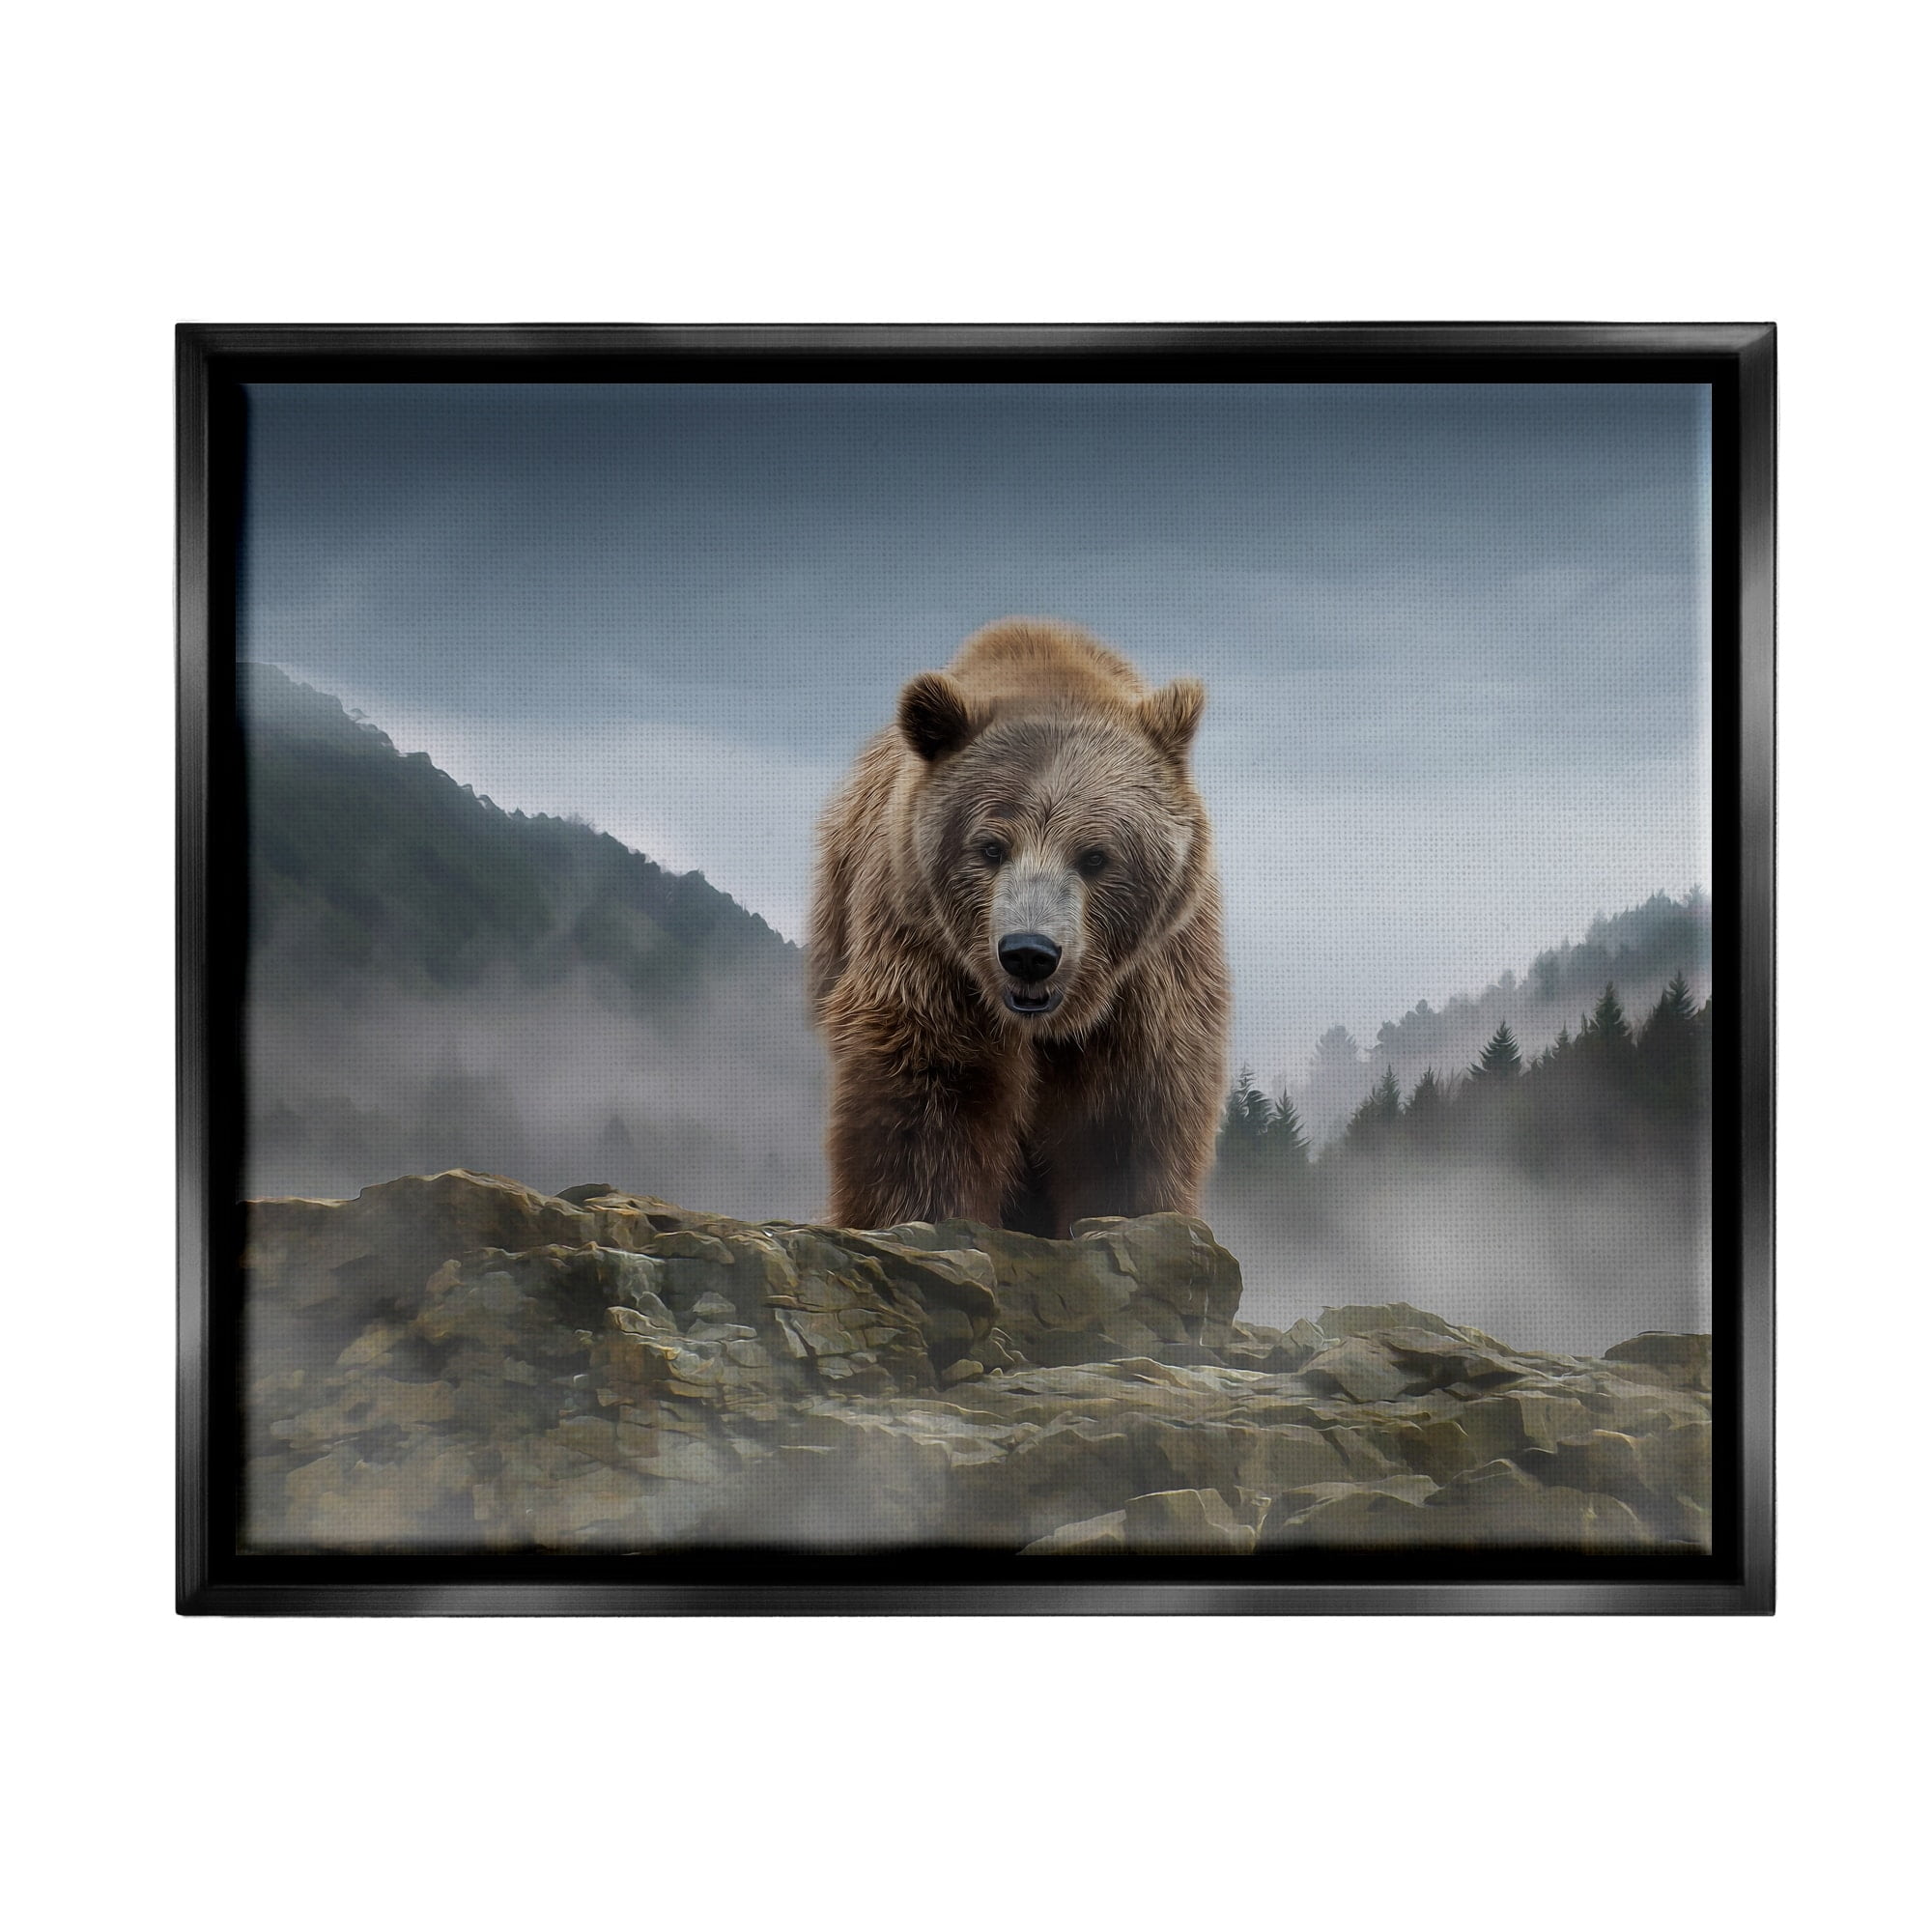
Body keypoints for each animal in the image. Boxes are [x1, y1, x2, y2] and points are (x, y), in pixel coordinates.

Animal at [807, 618, 1231, 1238]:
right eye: (990, 847)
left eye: (1096, 856)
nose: (1030, 953)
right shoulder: (926, 947)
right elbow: (933, 1089)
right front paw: (926, 1215)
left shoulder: (1152, 975)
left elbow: (1130, 1112)